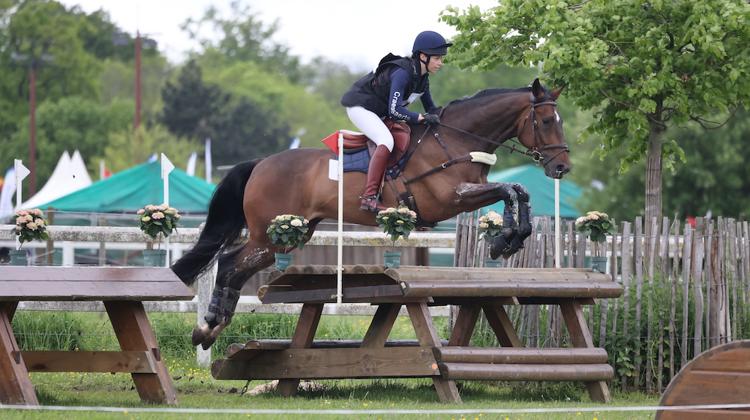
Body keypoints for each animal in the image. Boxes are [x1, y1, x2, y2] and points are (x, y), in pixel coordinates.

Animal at [173, 78, 568, 348]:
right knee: (228, 262)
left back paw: (209, 329)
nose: (562, 167)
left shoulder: (465, 195)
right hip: (269, 233)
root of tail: (260, 163)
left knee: (234, 267)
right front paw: (505, 240)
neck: (457, 140)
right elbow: (508, 190)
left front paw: (512, 239)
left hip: (289, 234)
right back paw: (209, 324)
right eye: (547, 121)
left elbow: (518, 190)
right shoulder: (450, 200)